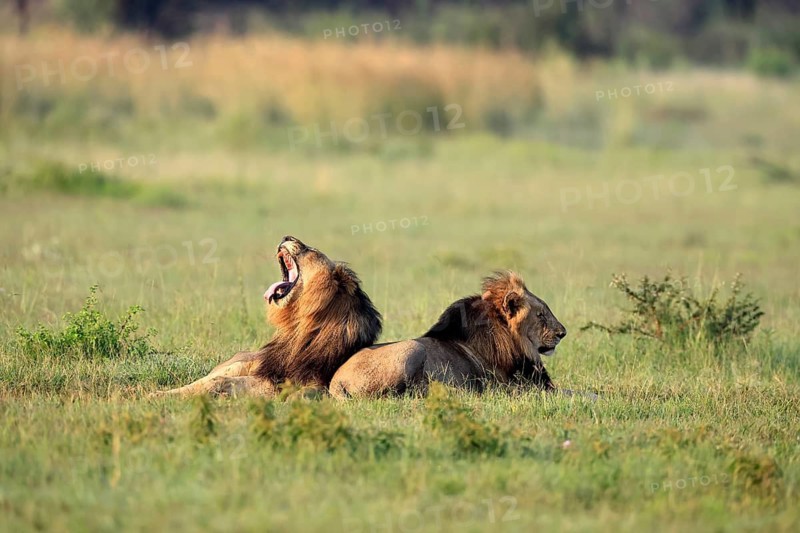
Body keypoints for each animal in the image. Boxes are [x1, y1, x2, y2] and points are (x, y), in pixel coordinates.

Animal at [158, 236, 382, 396]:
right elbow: (209, 381)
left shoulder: (286, 383)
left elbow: (219, 383)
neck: (299, 325)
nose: (286, 236)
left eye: (311, 250)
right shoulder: (265, 368)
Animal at [329, 271, 567, 398]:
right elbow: (571, 392)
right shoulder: (515, 387)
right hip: (413, 348)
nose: (563, 333)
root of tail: (336, 380)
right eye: (540, 314)